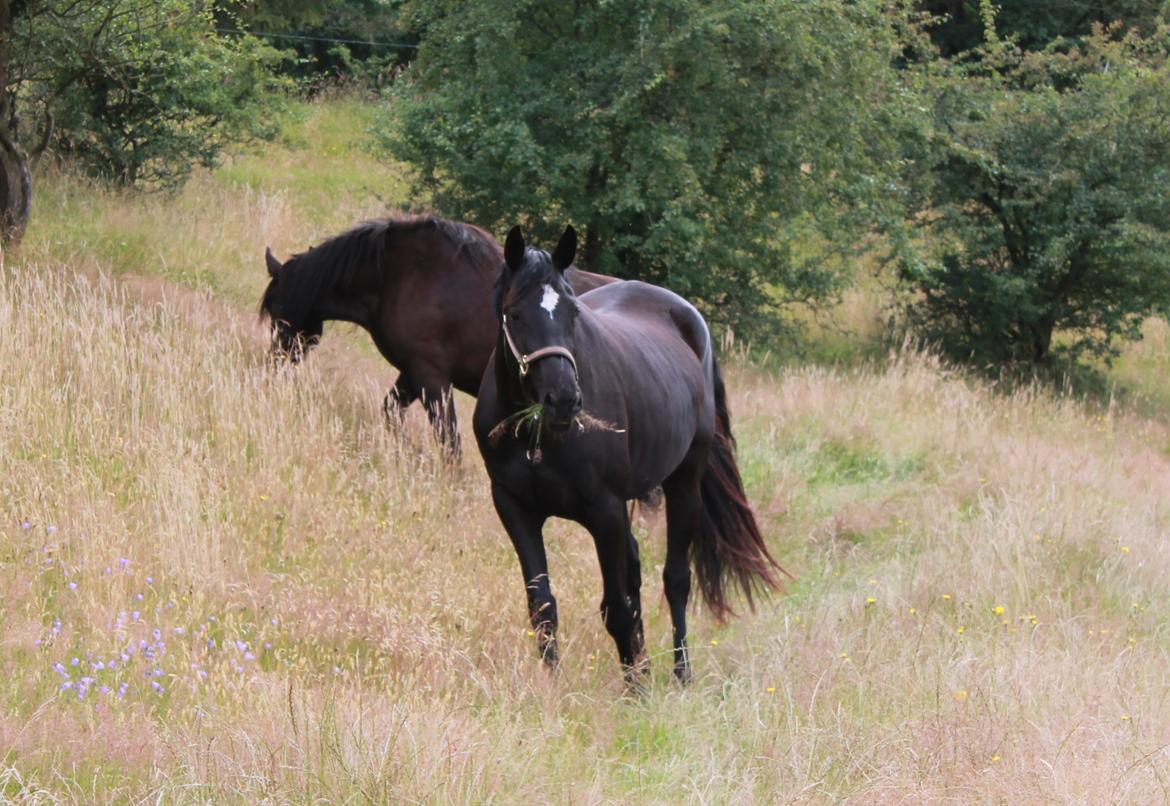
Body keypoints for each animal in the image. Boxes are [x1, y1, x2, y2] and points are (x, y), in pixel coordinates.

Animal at [258, 214, 613, 449]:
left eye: (275, 311)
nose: (271, 369)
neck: (400, 275)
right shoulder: (413, 372)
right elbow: (391, 411)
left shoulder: (432, 378)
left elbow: (448, 440)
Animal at [472, 226, 786, 683]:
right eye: (514, 314)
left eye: (573, 313)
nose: (563, 400)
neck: (538, 435)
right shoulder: (515, 508)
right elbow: (543, 605)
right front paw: (555, 684)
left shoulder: (604, 510)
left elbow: (618, 608)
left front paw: (635, 689)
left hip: (683, 483)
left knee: (675, 579)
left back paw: (680, 673)